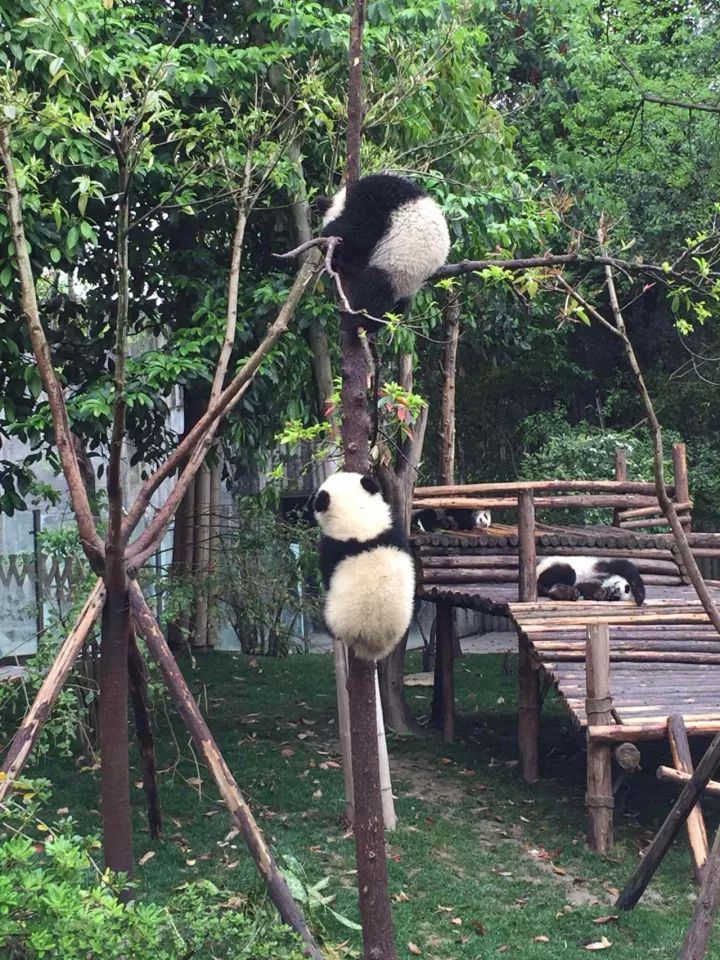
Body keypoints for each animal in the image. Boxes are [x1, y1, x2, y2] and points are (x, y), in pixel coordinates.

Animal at [316, 174, 448, 332]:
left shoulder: (372, 199)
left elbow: (358, 231)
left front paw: (329, 236)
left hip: (397, 269)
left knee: (373, 292)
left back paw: (354, 322)